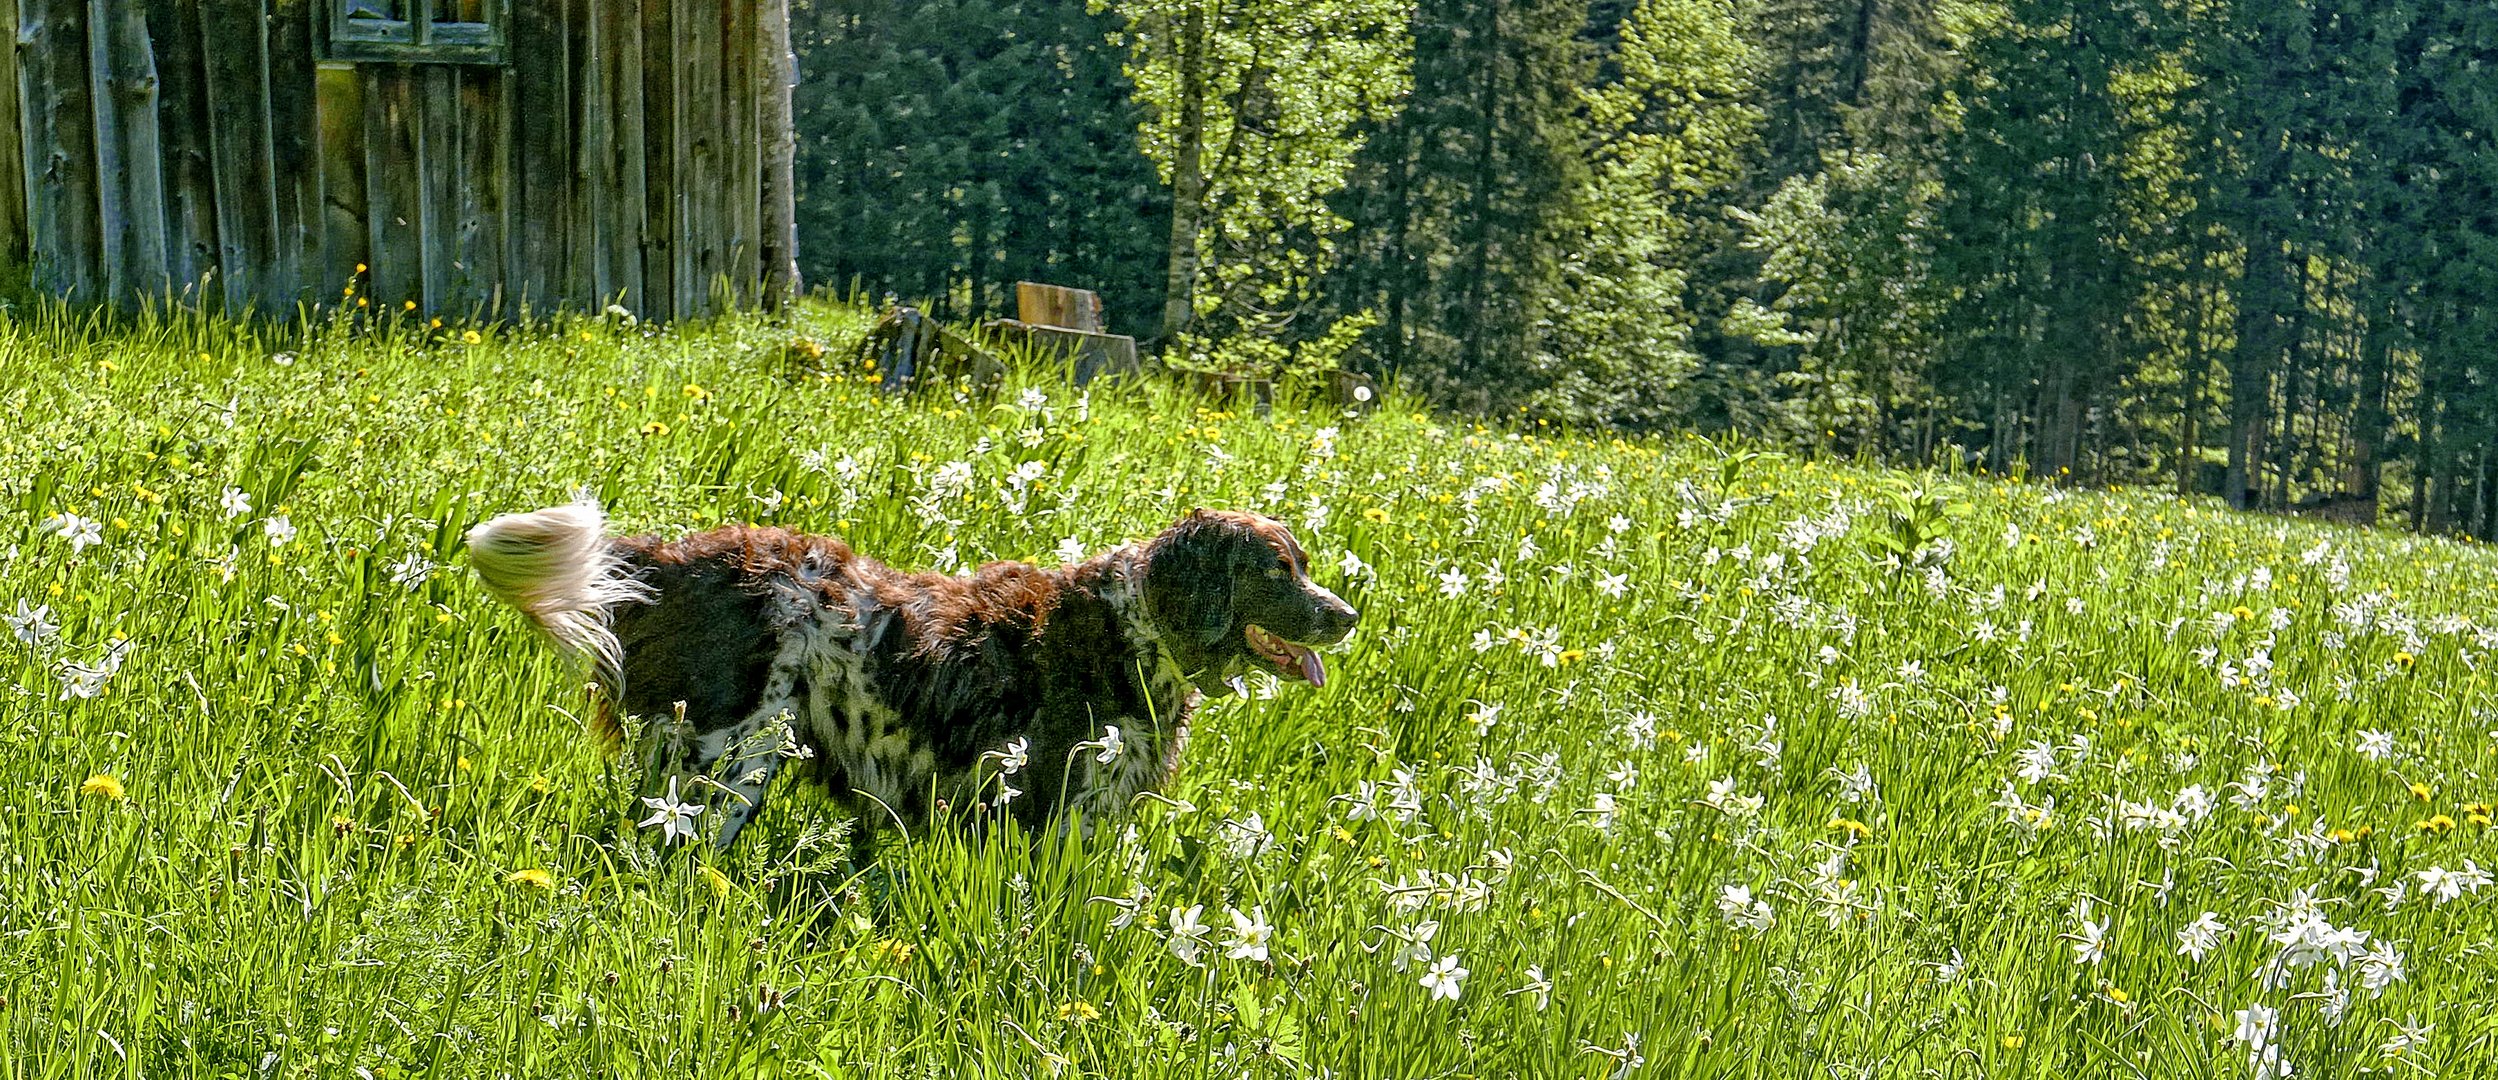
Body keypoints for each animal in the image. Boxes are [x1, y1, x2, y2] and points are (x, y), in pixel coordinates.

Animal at [469, 502, 1368, 850]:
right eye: (1278, 571)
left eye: (1303, 565)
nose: (1347, 614)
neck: (1134, 629)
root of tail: (672, 560)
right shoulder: (1045, 808)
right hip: (727, 764)